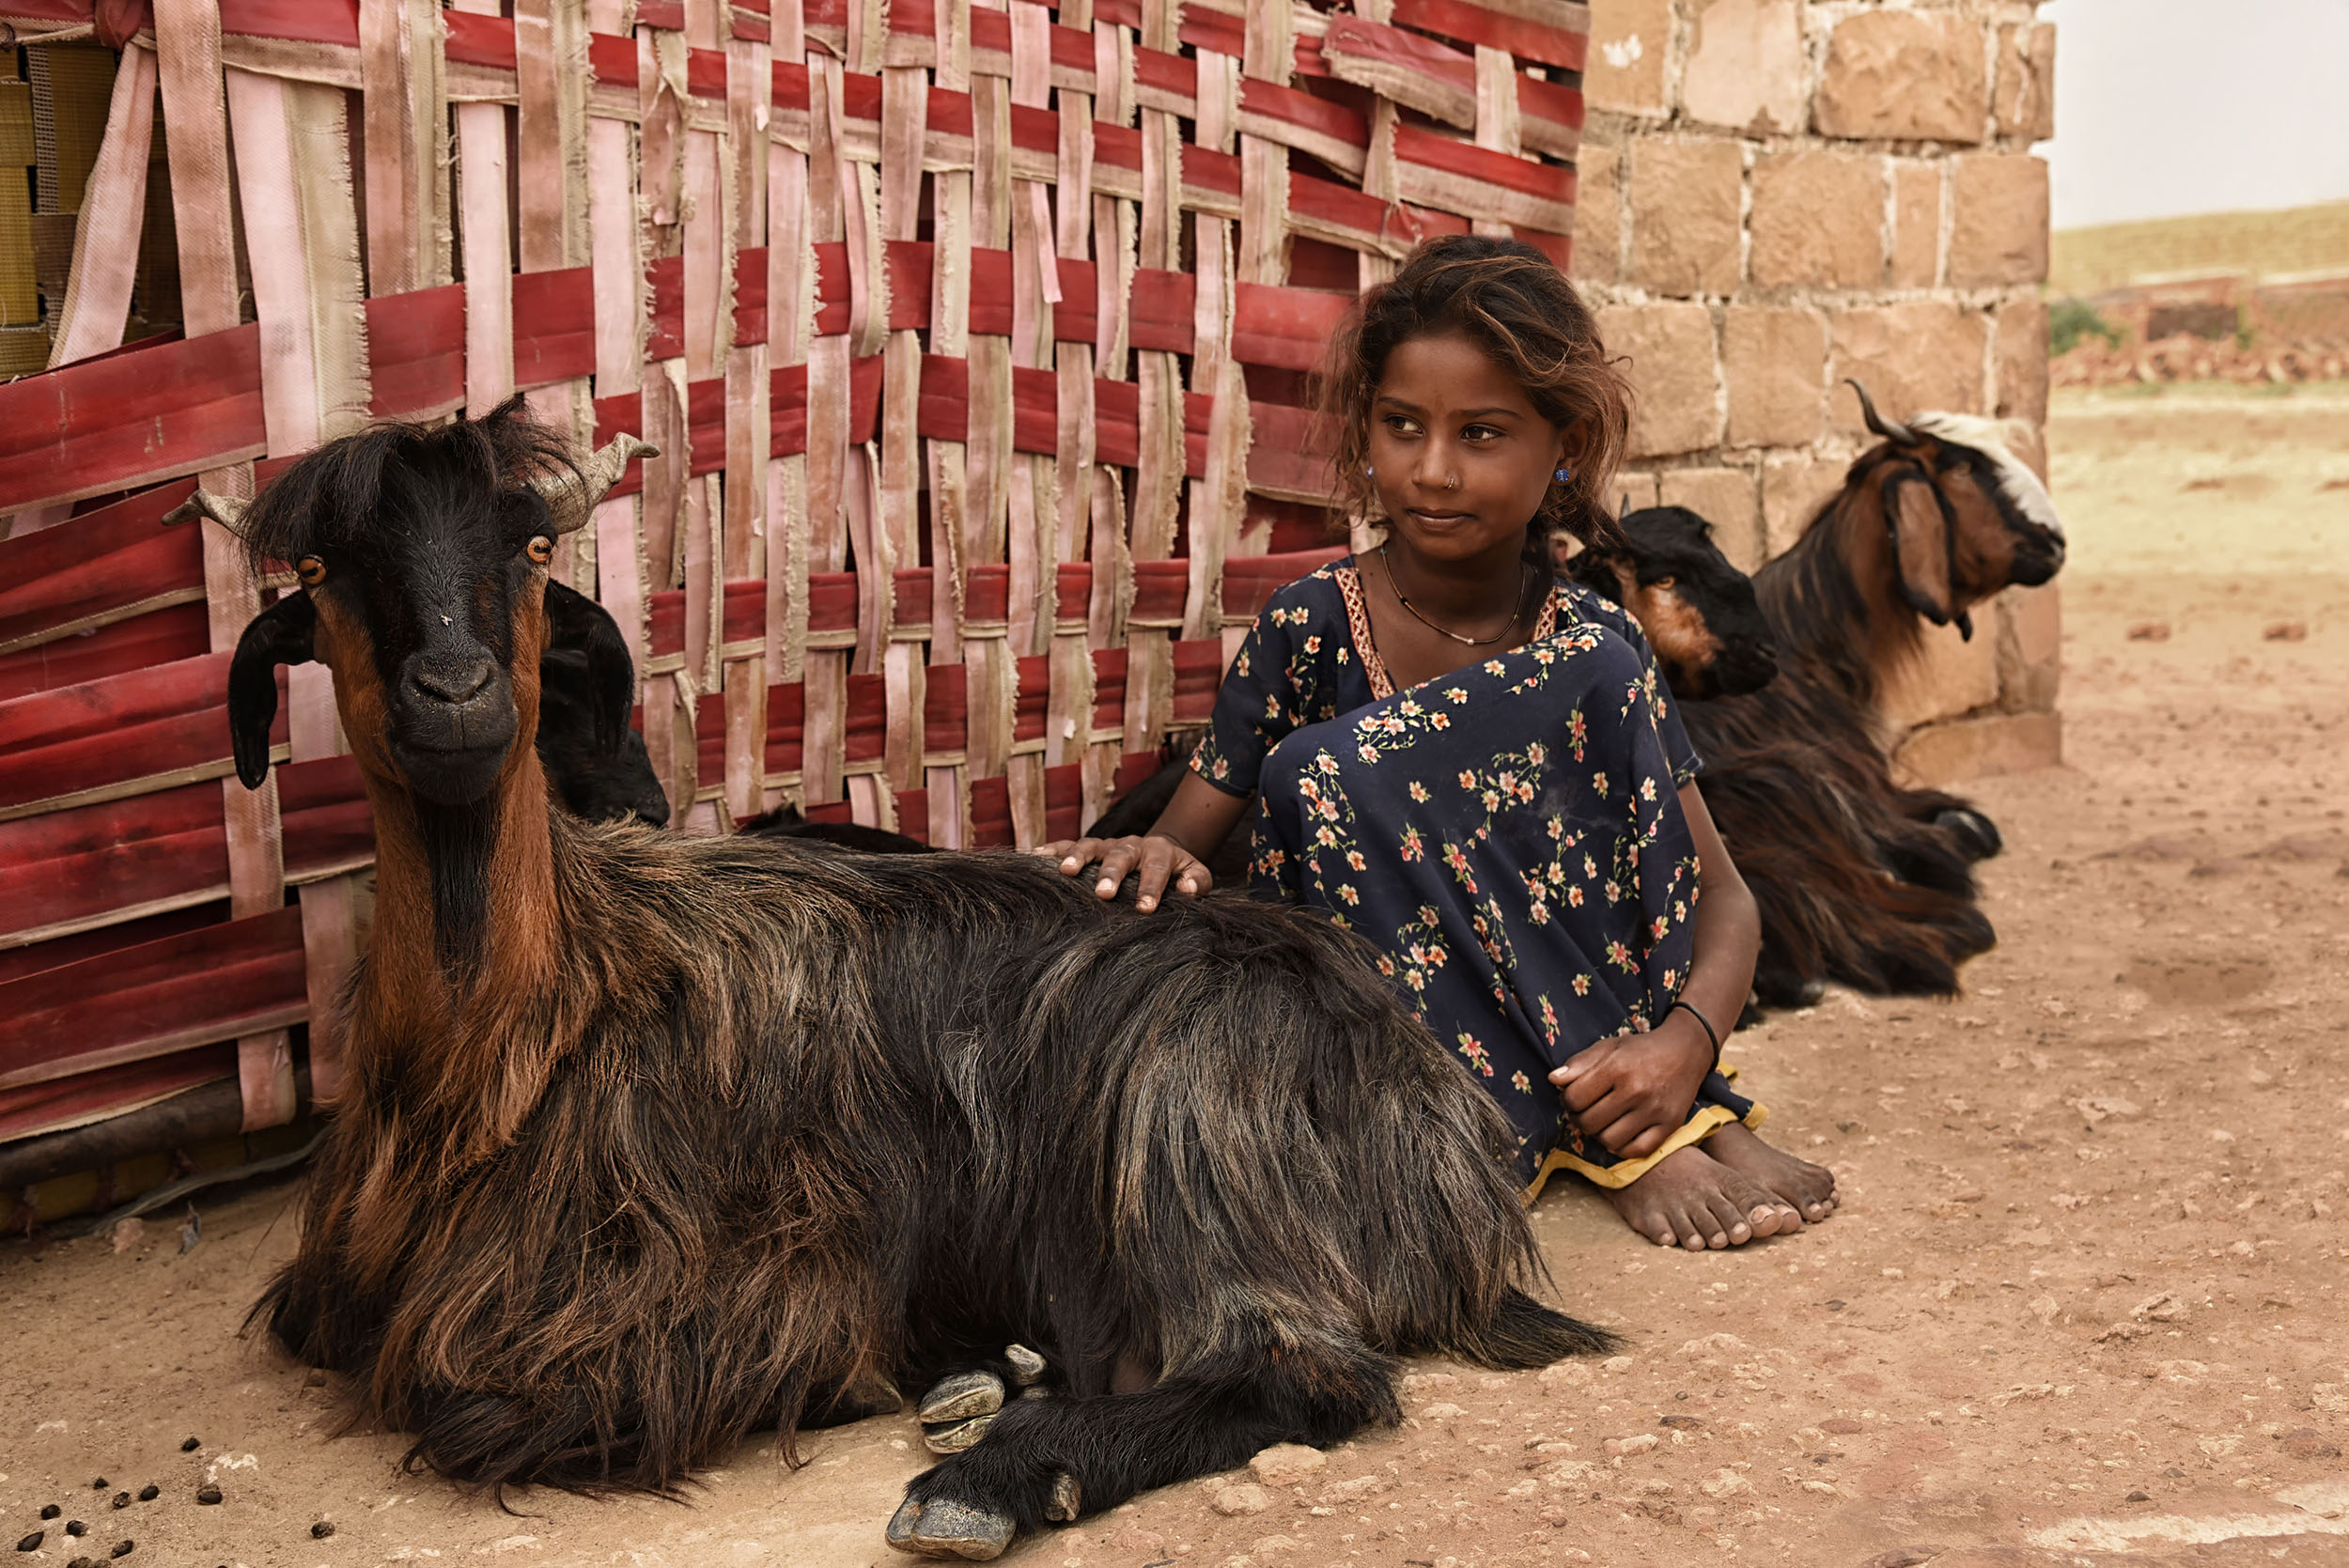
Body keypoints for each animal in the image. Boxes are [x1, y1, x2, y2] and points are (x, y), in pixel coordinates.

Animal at [179, 401, 1616, 1559]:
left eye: (528, 555)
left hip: (1190, 1116)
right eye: (325, 568)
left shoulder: (740, 1281)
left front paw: (922, 1375)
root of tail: (1440, 1125)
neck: (523, 1030)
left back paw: (997, 1473)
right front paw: (974, 1356)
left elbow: (483, 1403)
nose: (456, 692)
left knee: (1296, 1369)